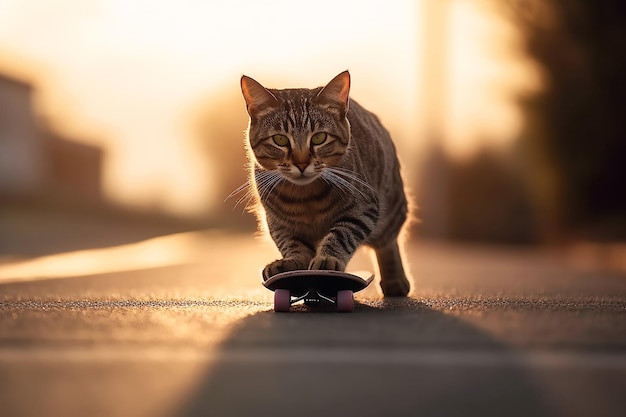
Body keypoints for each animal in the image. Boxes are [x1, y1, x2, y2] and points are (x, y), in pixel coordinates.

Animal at [239, 73, 410, 298]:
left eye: (319, 138)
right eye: (280, 140)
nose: (302, 164)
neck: (306, 198)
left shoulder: (363, 208)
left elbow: (341, 235)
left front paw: (328, 259)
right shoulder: (277, 222)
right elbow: (292, 243)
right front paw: (292, 261)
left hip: (391, 209)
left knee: (388, 243)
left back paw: (395, 281)